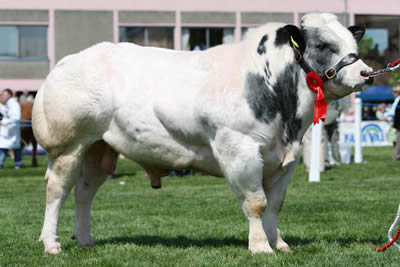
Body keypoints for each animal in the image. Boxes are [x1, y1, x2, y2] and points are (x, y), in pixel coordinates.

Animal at [32, 13, 374, 255]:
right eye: (324, 45)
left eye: (353, 45)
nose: (366, 73)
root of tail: (69, 60)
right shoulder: (240, 149)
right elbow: (256, 203)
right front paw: (260, 247)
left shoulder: (285, 159)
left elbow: (275, 204)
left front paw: (279, 244)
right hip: (67, 146)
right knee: (57, 191)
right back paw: (52, 243)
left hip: (99, 148)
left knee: (84, 192)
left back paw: (85, 239)